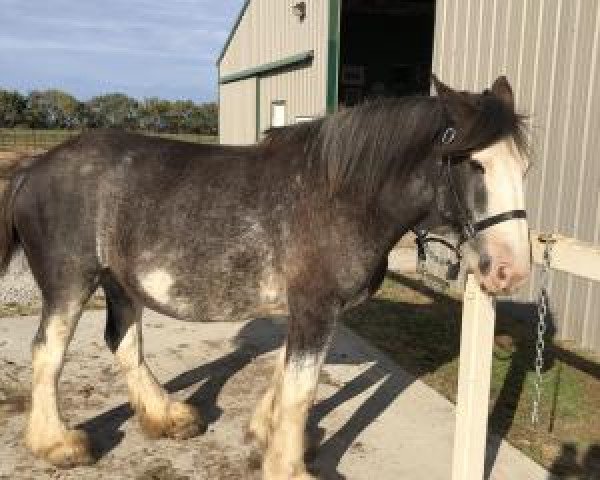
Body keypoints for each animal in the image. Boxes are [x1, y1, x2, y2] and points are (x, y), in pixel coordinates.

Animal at [1, 75, 528, 476]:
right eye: (475, 163)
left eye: (523, 165)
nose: (511, 271)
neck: (342, 197)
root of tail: (33, 167)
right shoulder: (315, 308)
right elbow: (301, 388)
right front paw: (289, 466)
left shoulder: (306, 309)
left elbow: (284, 373)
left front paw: (263, 434)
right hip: (70, 282)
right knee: (48, 352)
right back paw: (57, 444)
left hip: (121, 282)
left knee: (124, 343)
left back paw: (168, 417)